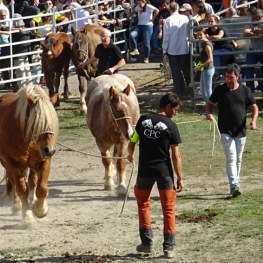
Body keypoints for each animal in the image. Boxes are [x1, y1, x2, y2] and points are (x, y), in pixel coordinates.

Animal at [0, 85, 58, 229]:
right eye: (36, 120)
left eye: (52, 119)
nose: (50, 149)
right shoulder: (11, 162)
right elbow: (21, 188)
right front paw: (27, 217)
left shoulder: (44, 161)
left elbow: (42, 188)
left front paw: (40, 209)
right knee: (13, 182)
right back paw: (16, 206)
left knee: (32, 181)